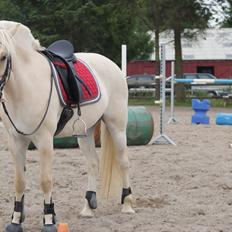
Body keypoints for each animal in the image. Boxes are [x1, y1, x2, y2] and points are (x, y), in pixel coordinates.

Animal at [0, 20, 134, 231]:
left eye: (4, 56)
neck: (25, 85)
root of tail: (111, 64)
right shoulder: (16, 141)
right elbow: (19, 182)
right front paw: (15, 221)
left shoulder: (45, 141)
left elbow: (46, 181)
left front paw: (48, 221)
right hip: (85, 132)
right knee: (92, 163)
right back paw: (88, 207)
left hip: (117, 126)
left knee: (123, 161)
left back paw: (127, 204)